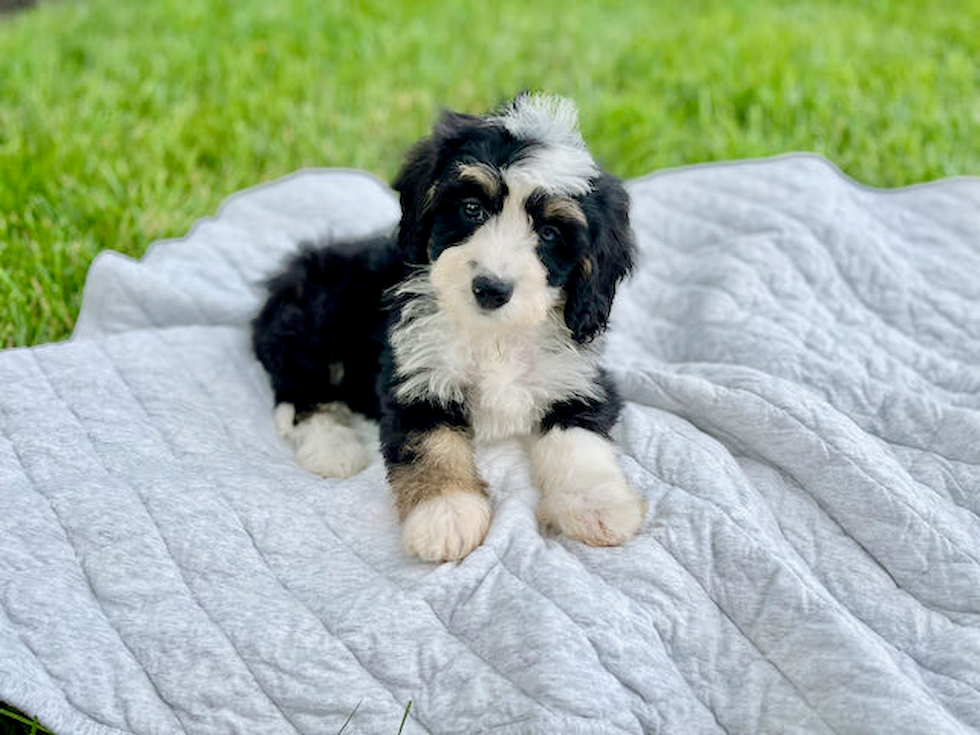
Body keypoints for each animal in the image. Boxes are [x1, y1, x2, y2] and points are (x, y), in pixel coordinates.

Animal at [256, 93, 648, 564]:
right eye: (472, 209)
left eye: (551, 233)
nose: (491, 289)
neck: (493, 333)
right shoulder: (415, 380)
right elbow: (433, 446)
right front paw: (445, 514)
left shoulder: (576, 378)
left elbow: (578, 440)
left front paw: (597, 505)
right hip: (315, 325)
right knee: (302, 394)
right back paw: (334, 448)